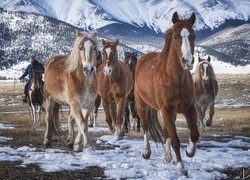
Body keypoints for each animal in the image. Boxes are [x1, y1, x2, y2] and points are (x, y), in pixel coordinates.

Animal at [135, 11, 199, 176]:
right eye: (176, 36)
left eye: (193, 35)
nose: (188, 61)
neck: (176, 79)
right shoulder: (166, 110)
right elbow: (176, 139)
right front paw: (181, 167)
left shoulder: (189, 108)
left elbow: (194, 133)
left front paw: (190, 151)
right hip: (142, 105)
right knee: (145, 126)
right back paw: (146, 152)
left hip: (171, 113)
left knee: (165, 132)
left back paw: (168, 155)